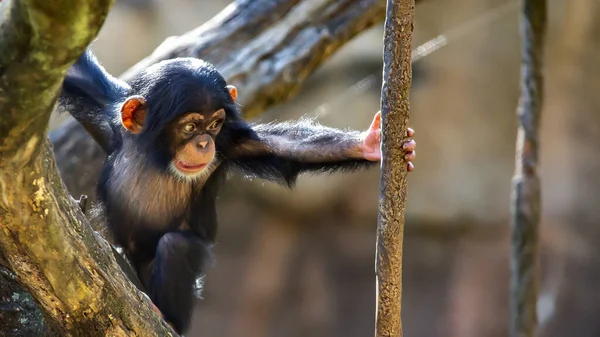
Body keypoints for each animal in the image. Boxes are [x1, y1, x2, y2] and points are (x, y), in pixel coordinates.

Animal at [58, 50, 414, 334]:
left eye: (214, 124)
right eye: (190, 126)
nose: (204, 143)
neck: (156, 153)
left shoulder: (232, 142)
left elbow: (288, 147)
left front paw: (368, 144)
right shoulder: (108, 109)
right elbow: (75, 73)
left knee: (177, 246)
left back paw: (171, 319)